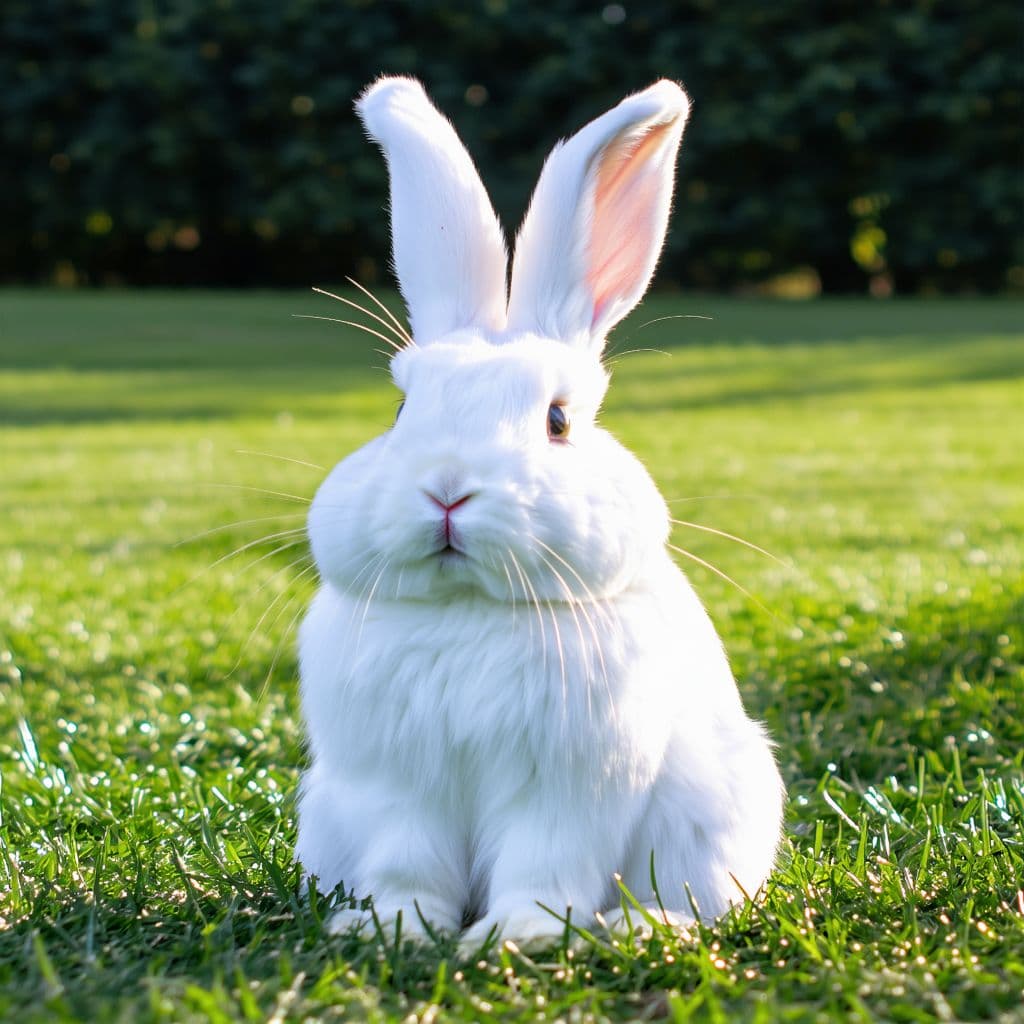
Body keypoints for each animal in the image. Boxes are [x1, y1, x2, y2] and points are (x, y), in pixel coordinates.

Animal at [295, 76, 785, 949]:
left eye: (557, 420)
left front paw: (518, 936)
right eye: (400, 410)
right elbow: (406, 865)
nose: (447, 490)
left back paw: (646, 927)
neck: (470, 611)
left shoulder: (570, 790)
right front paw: (393, 929)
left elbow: (543, 866)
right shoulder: (395, 787)